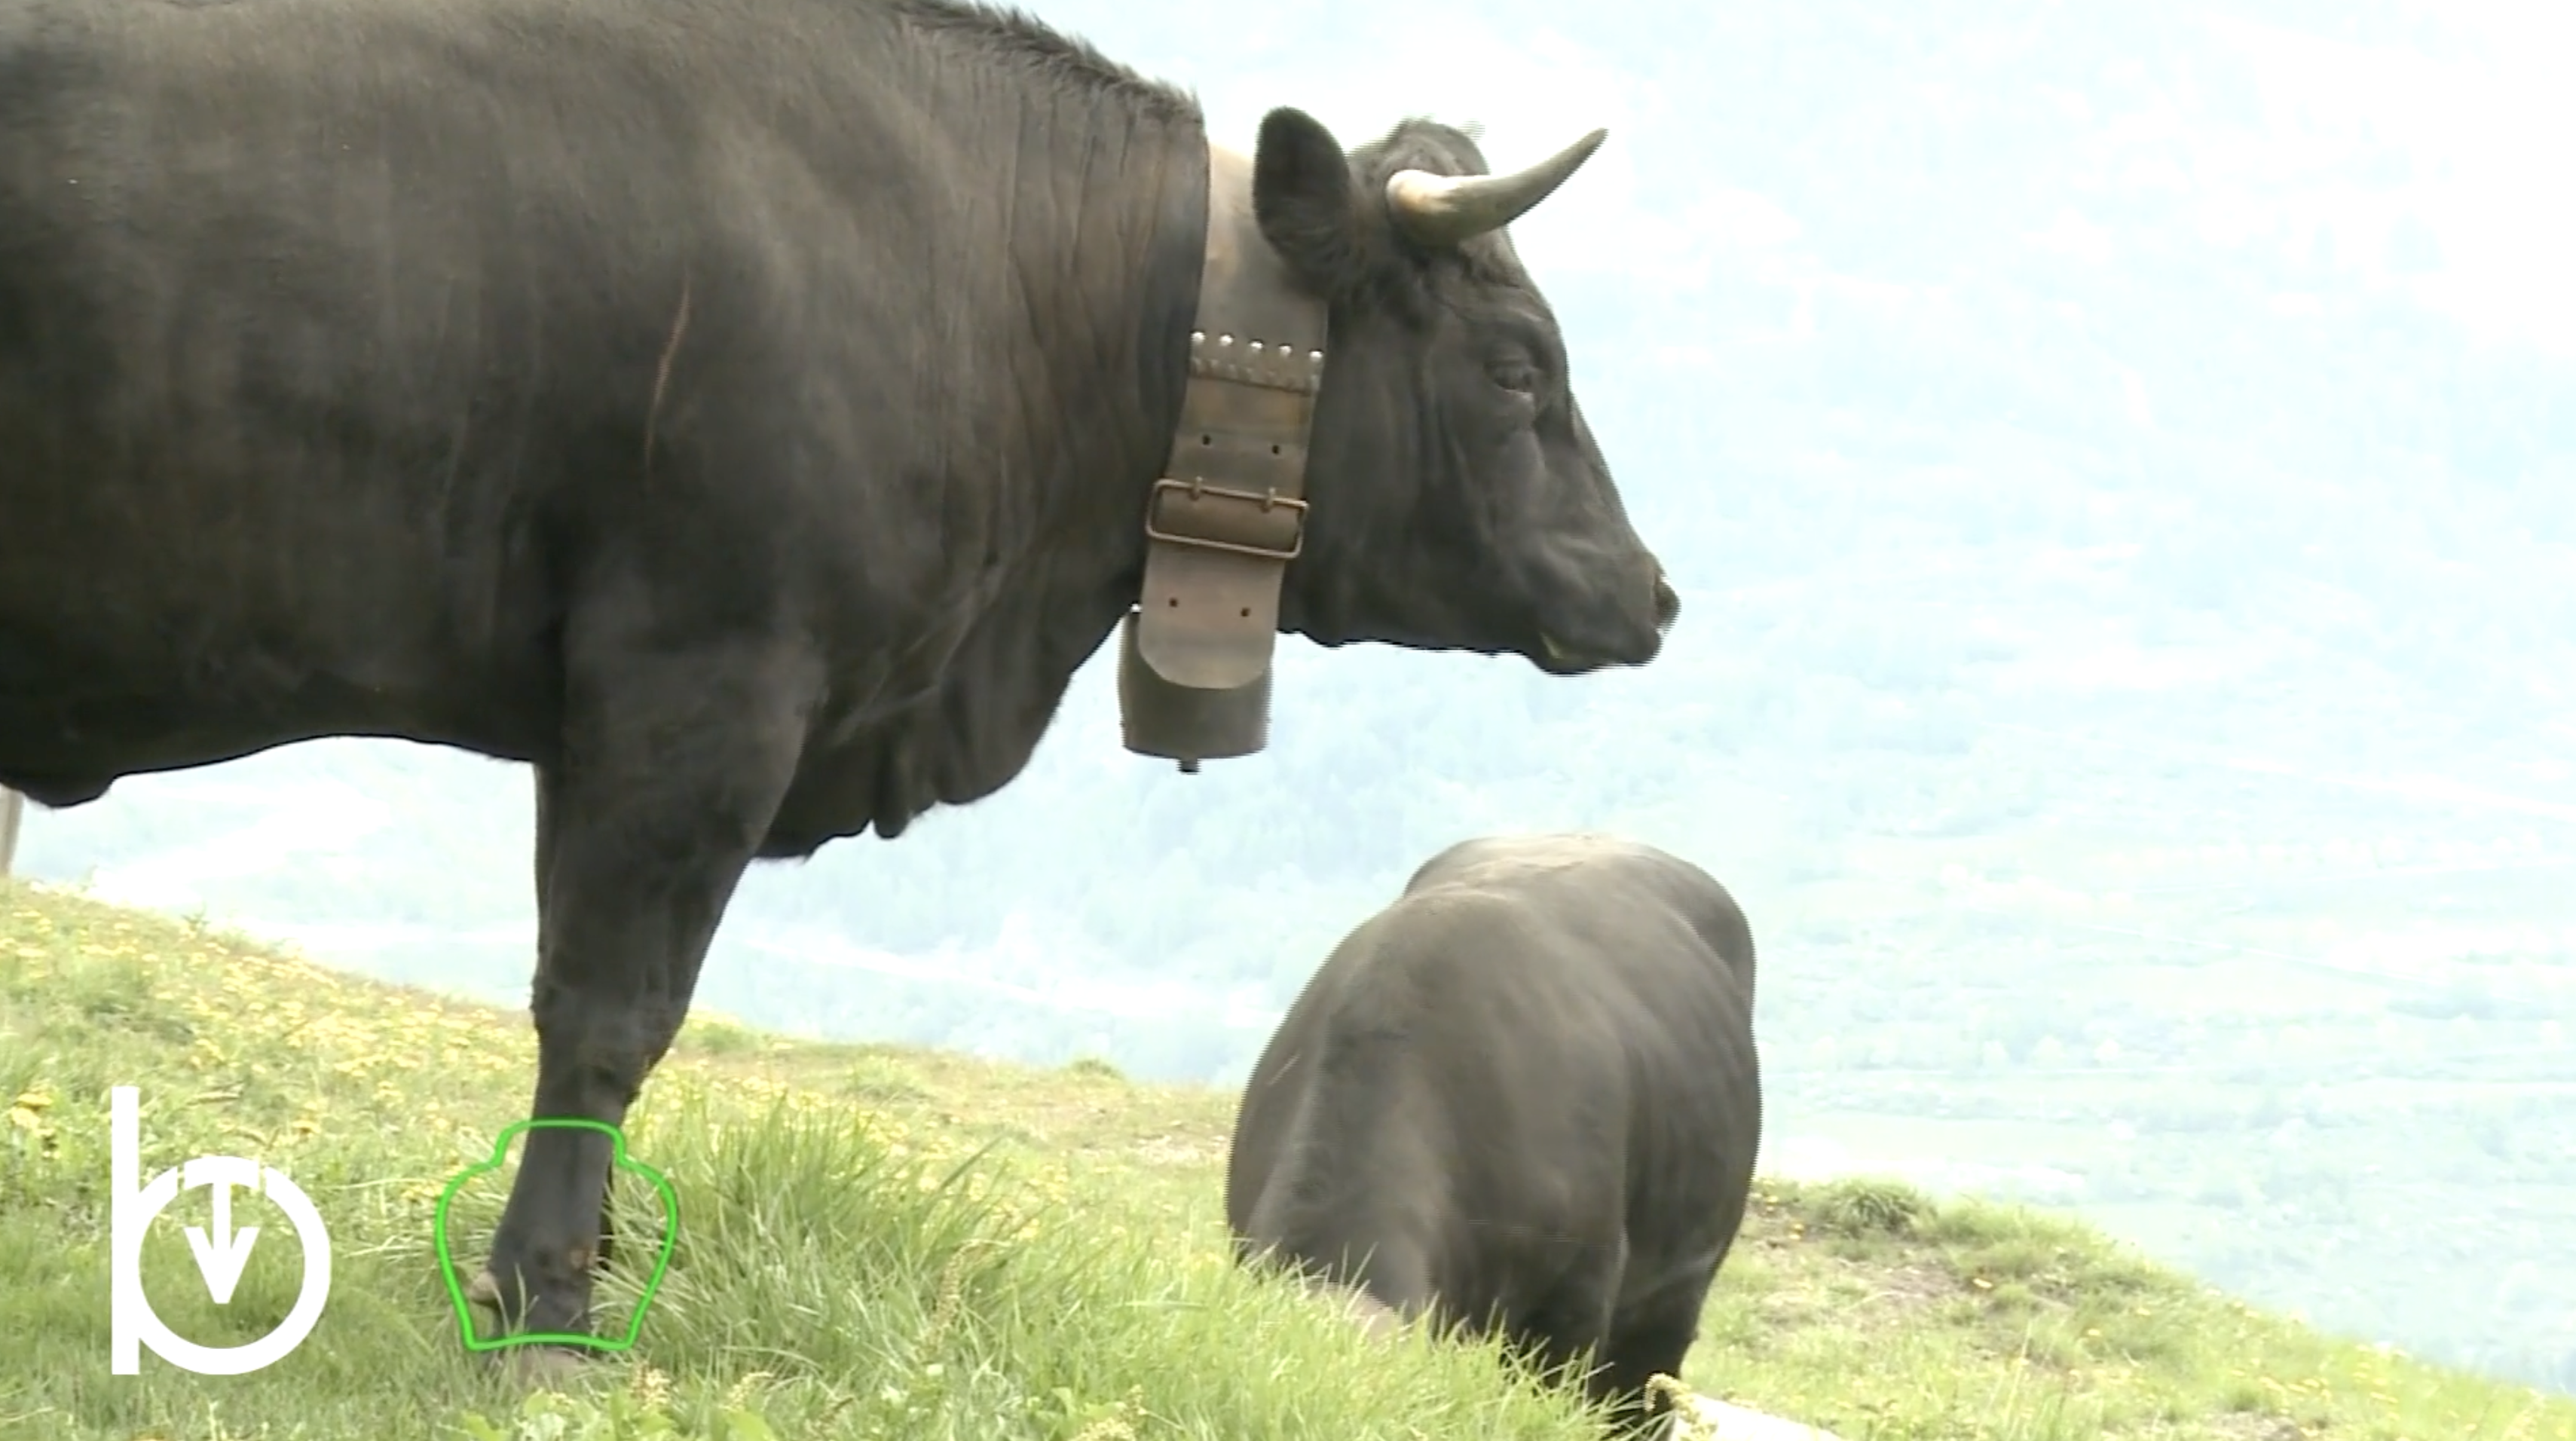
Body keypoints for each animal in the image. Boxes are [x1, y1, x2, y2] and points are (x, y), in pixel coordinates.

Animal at [0, 0, 1679, 1361]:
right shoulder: (707, 682)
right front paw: (550, 1305)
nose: (1647, 590)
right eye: (1518, 364)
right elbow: (608, 1010)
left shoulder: (599, 712)